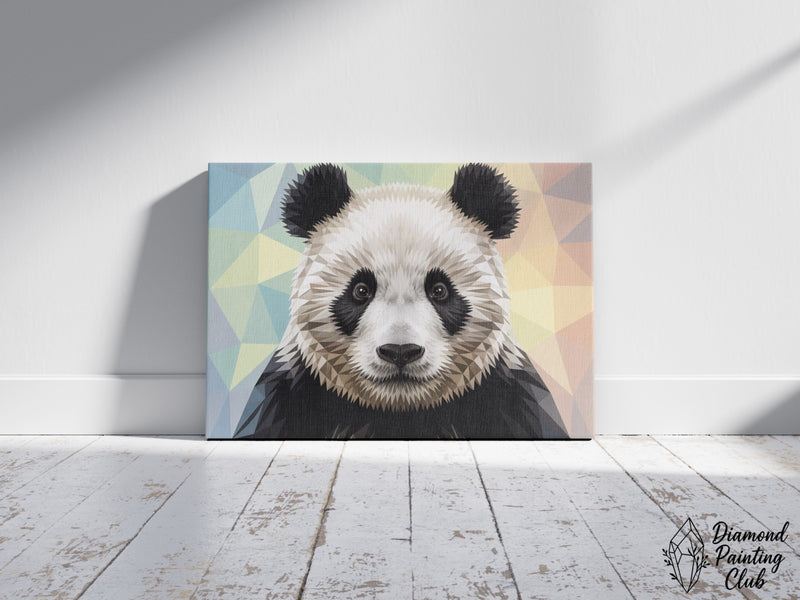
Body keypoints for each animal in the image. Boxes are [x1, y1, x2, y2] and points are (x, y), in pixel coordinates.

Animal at [234, 163, 567, 439]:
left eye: (439, 290)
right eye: (360, 290)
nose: (400, 352)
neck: (399, 411)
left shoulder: (510, 399)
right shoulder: (289, 396)